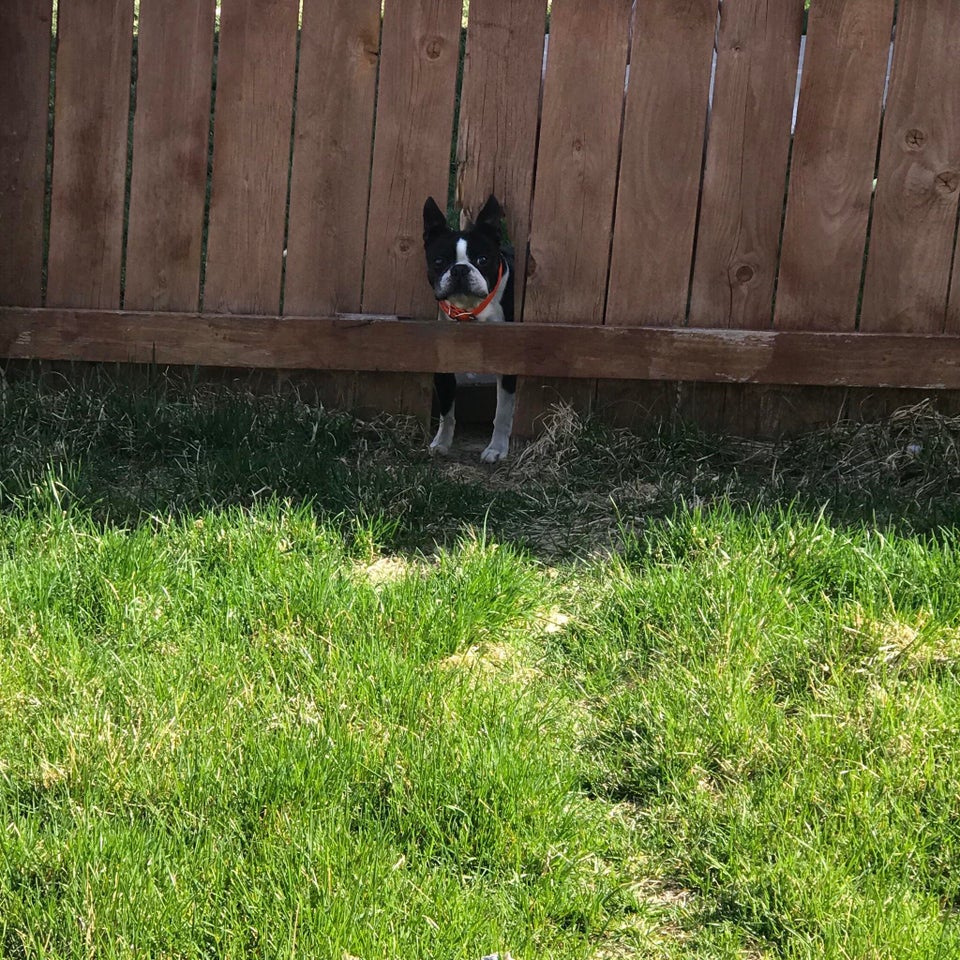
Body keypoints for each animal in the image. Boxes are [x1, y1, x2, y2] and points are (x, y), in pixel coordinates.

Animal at [422, 193, 512, 464]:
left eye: (483, 259)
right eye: (439, 261)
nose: (460, 269)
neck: (469, 309)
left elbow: (503, 412)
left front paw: (497, 448)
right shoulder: (442, 363)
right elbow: (446, 409)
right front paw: (441, 442)